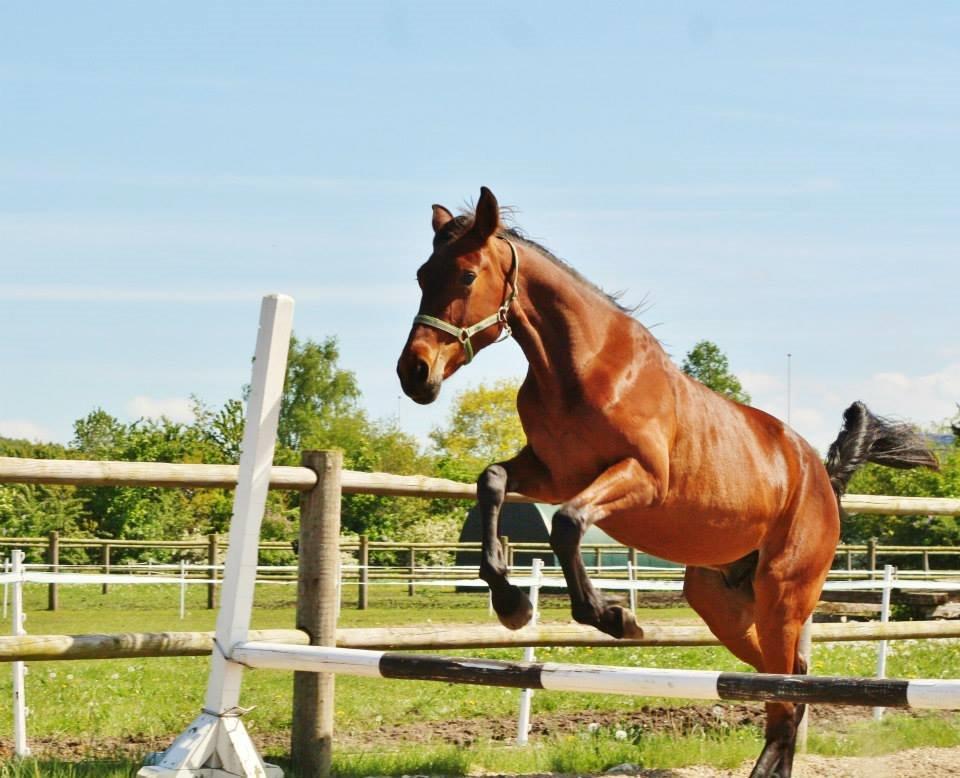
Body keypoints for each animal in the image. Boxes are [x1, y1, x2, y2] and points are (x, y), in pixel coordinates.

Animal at [392, 188, 936, 776]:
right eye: (422, 274)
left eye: (467, 275)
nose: (414, 373)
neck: (578, 368)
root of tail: (820, 476)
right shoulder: (552, 474)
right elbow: (492, 482)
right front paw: (512, 604)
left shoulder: (640, 480)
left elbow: (567, 524)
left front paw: (611, 617)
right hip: (723, 605)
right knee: (790, 681)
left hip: (783, 596)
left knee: (786, 695)